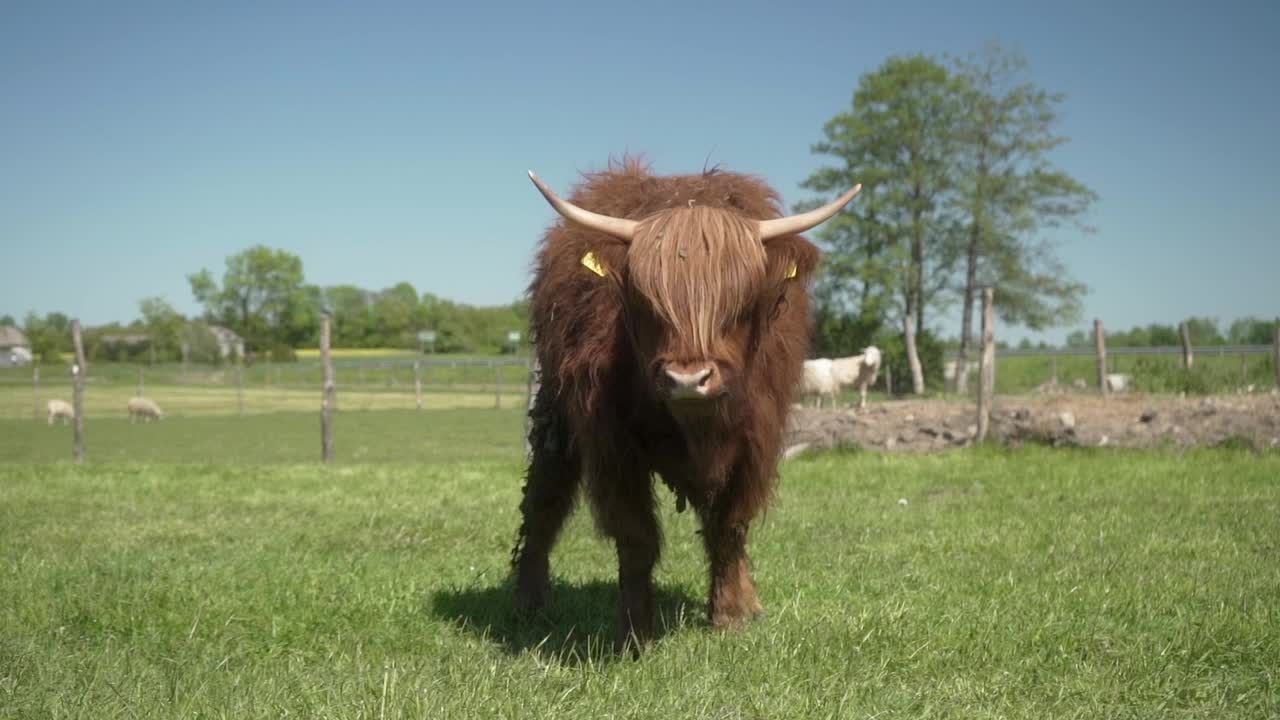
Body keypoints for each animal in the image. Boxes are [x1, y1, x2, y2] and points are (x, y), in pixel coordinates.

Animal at [509, 159, 860, 648]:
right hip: (553, 413)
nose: (688, 380)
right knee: (544, 498)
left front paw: (730, 614)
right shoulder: (612, 446)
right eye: (647, 301)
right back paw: (528, 601)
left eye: (740, 301)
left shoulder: (757, 443)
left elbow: (728, 526)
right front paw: (636, 632)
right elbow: (636, 536)